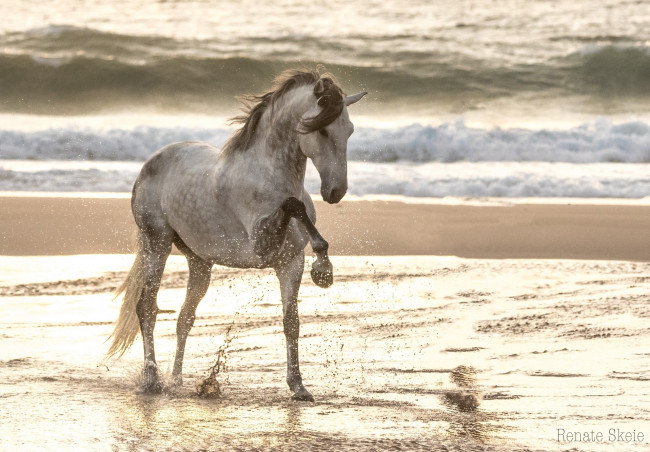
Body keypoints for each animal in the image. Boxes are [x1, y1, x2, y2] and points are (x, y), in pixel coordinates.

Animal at [109, 69, 368, 400]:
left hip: (200, 262)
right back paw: (153, 380)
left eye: (349, 130)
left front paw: (298, 387)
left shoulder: (290, 263)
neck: (267, 176)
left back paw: (177, 380)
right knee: (147, 308)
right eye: (322, 131)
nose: (335, 192)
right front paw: (323, 268)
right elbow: (293, 205)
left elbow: (291, 322)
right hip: (157, 243)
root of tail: (151, 163)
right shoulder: (262, 246)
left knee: (185, 317)